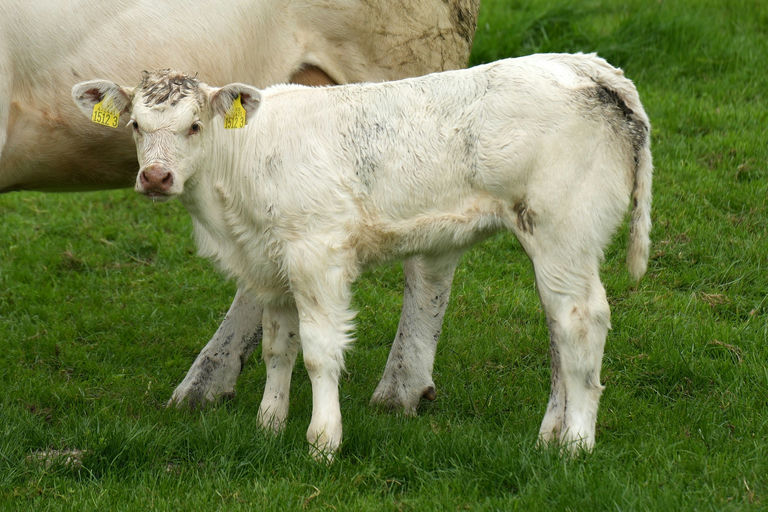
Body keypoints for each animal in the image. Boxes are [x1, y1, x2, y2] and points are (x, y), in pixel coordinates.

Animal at [0, 0, 479, 411]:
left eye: (195, 126)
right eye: (133, 124)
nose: (154, 177)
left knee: (430, 258)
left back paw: (400, 387)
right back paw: (207, 382)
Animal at [72, 52, 653, 459]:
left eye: (194, 125)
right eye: (136, 125)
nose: (156, 177)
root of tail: (589, 67)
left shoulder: (316, 255)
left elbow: (318, 350)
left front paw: (323, 441)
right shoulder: (272, 263)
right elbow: (277, 348)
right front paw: (269, 426)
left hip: (564, 230)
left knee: (582, 322)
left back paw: (576, 444)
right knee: (559, 330)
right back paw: (549, 436)